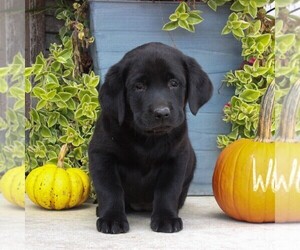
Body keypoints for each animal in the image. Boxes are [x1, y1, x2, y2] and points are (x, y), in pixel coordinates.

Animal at [88, 42, 212, 233]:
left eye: (174, 83)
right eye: (139, 86)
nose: (161, 113)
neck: (147, 139)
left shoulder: (176, 159)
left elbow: (167, 190)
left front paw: (166, 218)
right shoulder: (102, 155)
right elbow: (110, 189)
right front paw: (112, 219)